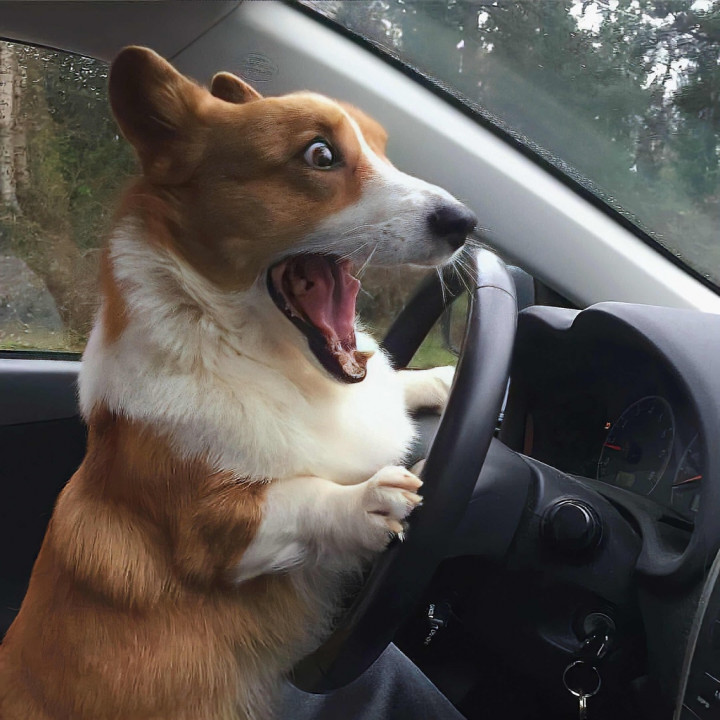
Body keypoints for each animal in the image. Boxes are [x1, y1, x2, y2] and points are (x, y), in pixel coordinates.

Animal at [0, 47, 477, 720]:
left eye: (384, 149)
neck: (247, 349)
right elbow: (300, 499)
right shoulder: (213, 534)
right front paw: (365, 500)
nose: (466, 222)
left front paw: (443, 378)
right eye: (320, 155)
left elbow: (394, 382)